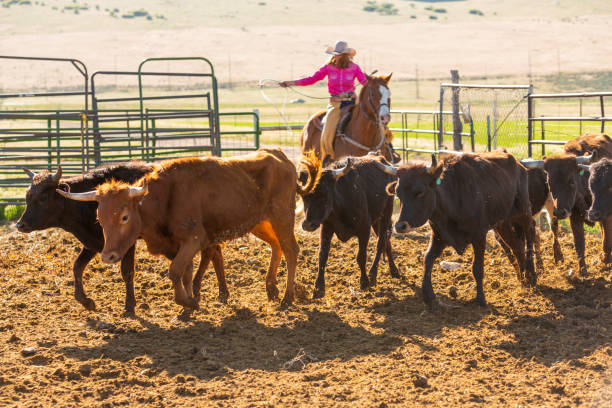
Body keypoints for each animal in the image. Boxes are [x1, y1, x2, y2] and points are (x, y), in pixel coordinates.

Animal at [56, 149, 300, 310]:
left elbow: (175, 271)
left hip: (283, 217)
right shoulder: (174, 245)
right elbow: (185, 272)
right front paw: (187, 305)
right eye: (100, 218)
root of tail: (280, 155)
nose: (108, 256)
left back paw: (288, 297)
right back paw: (271, 287)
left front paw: (188, 302)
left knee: (291, 250)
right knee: (276, 246)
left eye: (124, 217)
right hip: (261, 222)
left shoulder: (194, 239)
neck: (163, 198)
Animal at [298, 151, 402, 298]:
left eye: (324, 195)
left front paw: (364, 282)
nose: (308, 225)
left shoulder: (364, 229)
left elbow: (361, 256)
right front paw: (318, 287)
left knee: (381, 241)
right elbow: (322, 255)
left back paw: (373, 274)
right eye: (304, 196)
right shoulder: (326, 228)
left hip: (386, 212)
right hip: (376, 220)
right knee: (386, 242)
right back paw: (393, 270)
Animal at [376, 151, 536, 306]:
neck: (454, 199)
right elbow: (427, 259)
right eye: (398, 193)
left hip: (523, 212)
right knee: (517, 246)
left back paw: (532, 275)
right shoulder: (439, 237)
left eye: (419, 191)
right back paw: (523, 280)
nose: (400, 226)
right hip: (502, 223)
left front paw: (480, 299)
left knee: (530, 234)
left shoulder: (479, 236)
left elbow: (477, 268)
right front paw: (428, 294)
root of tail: (519, 165)